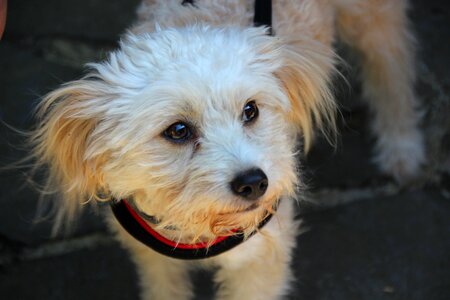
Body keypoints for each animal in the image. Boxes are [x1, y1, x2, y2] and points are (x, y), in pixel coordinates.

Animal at [30, 1, 422, 298]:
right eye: (178, 130)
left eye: (251, 110)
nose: (254, 183)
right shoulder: (154, 261)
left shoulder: (260, 260)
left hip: (370, 18)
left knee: (394, 69)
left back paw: (402, 150)